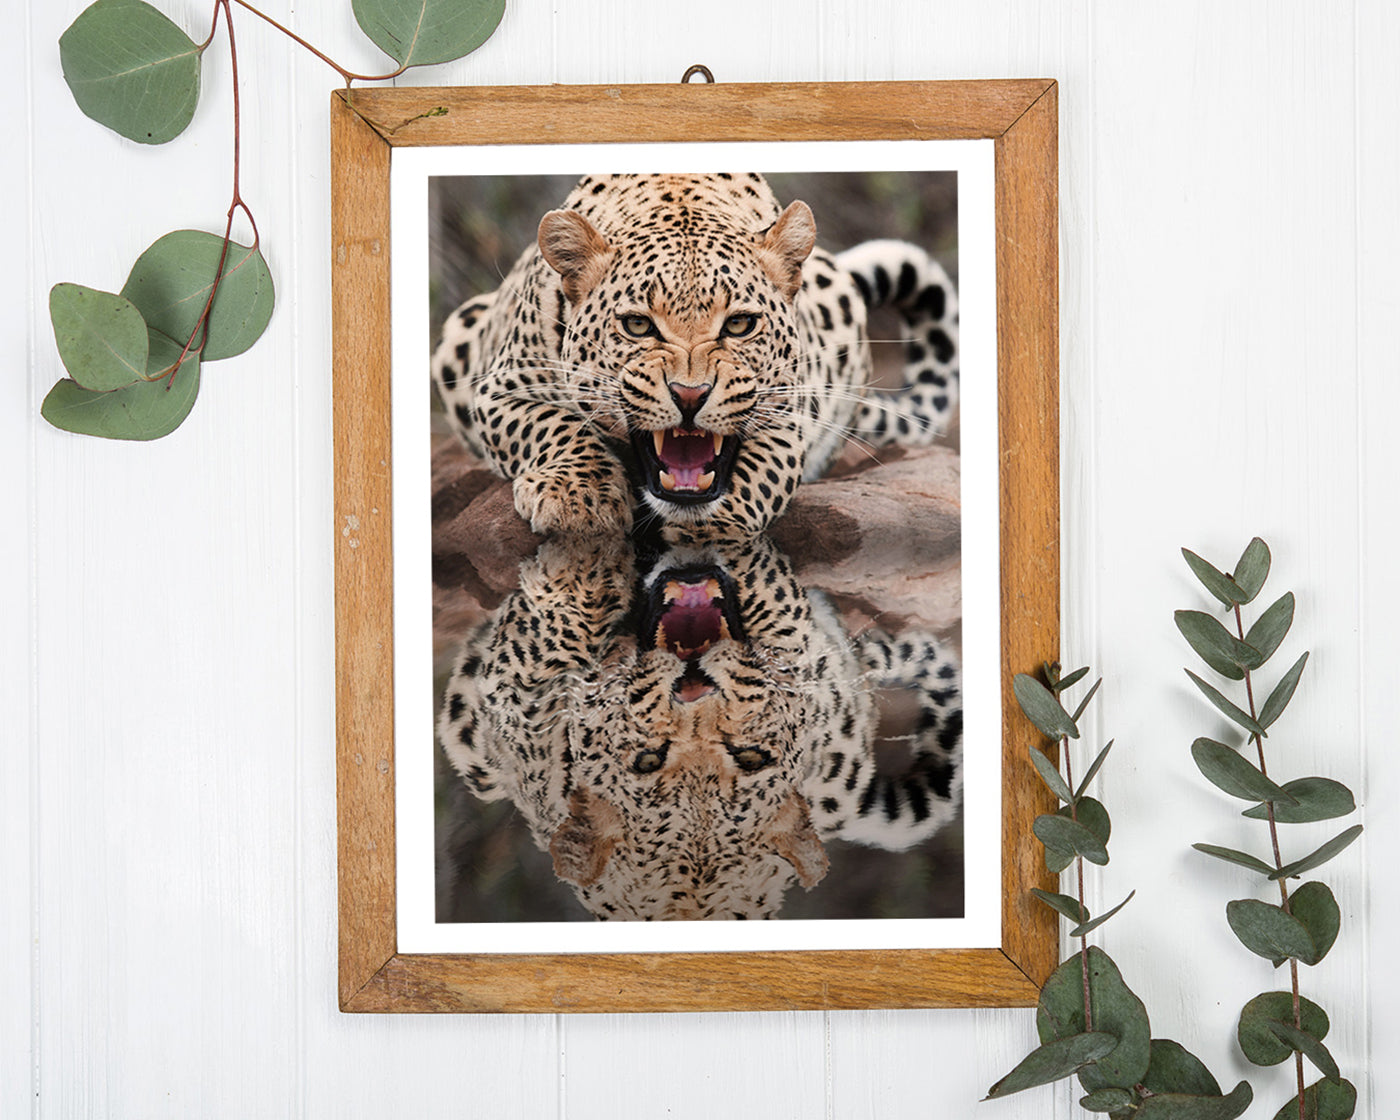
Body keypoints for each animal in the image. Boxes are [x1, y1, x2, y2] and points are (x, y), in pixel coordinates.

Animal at [431, 172, 959, 541]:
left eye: (740, 324)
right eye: (638, 325)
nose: (689, 395)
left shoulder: (789, 413)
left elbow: (758, 476)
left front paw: (712, 530)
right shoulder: (499, 388)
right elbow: (551, 425)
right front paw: (579, 499)